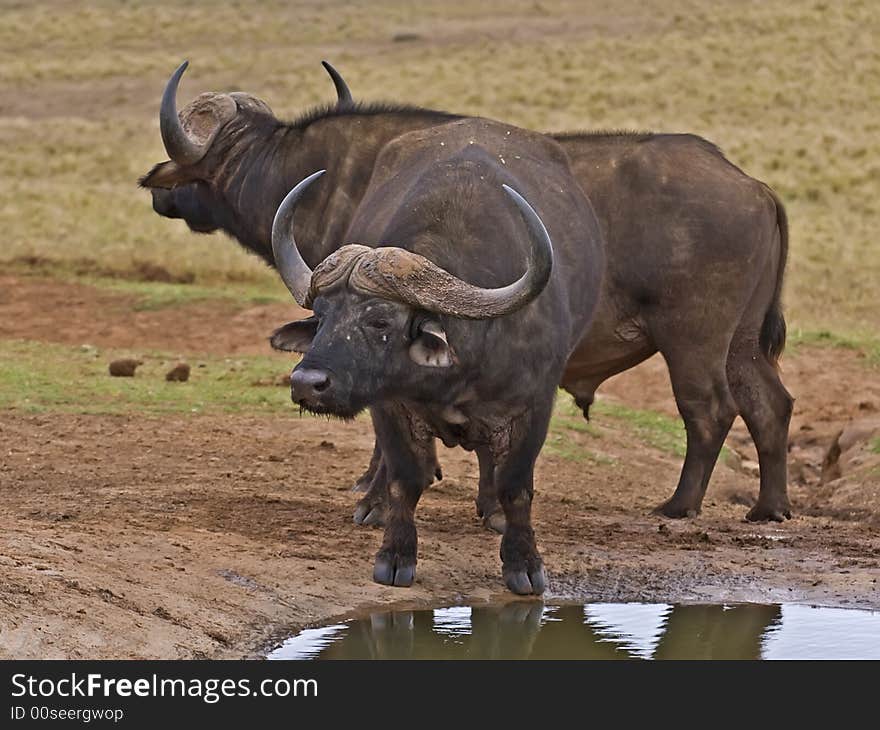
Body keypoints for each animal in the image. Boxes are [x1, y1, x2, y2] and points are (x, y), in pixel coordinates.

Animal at [141, 62, 796, 528]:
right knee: (771, 406)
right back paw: (768, 509)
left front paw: (380, 493)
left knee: (709, 410)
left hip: (694, 338)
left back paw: (679, 506)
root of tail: (753, 185)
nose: (158, 192)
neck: (321, 176)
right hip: (741, 343)